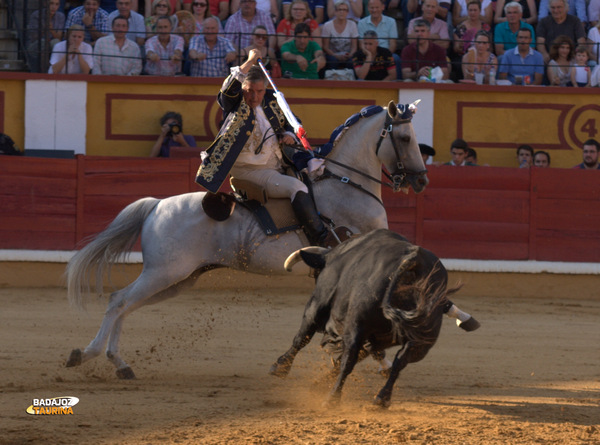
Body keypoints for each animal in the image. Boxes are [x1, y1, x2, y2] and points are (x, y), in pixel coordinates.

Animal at [65, 101, 476, 378]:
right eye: (404, 137)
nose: (421, 181)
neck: (348, 182)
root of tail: (156, 206)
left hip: (177, 279)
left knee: (125, 304)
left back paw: (117, 363)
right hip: (164, 273)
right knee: (119, 302)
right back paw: (91, 355)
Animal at [270, 229, 464, 406]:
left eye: (317, 276)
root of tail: (413, 260)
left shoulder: (318, 303)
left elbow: (301, 338)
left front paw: (280, 367)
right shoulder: (375, 339)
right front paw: (317, 385)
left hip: (355, 324)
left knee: (348, 359)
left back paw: (333, 398)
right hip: (422, 340)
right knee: (400, 361)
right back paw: (381, 398)